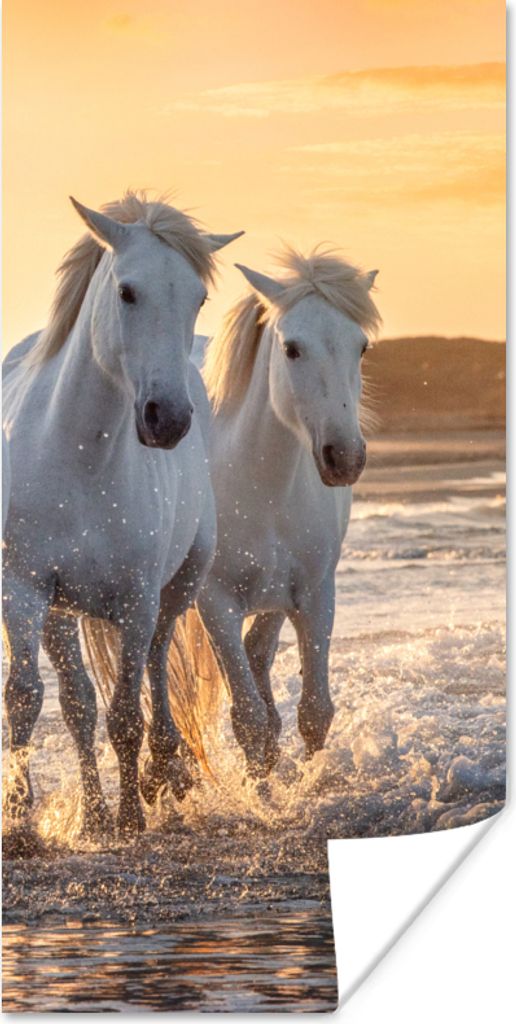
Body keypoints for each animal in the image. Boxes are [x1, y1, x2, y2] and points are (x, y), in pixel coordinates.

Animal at [2, 191, 243, 837]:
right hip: (62, 612)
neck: (78, 459)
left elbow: (127, 713)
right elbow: (29, 700)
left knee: (156, 671)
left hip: (176, 588)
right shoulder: (24, 590)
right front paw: (21, 822)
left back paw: (163, 771)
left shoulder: (136, 600)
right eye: (127, 291)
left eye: (198, 297)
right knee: (78, 704)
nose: (169, 419)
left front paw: (133, 815)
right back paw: (93, 813)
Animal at [192, 248, 381, 777]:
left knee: (259, 653)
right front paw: (265, 794)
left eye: (361, 347)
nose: (345, 458)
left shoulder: (314, 595)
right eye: (292, 349)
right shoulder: (215, 605)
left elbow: (315, 712)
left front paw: (308, 785)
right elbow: (249, 721)